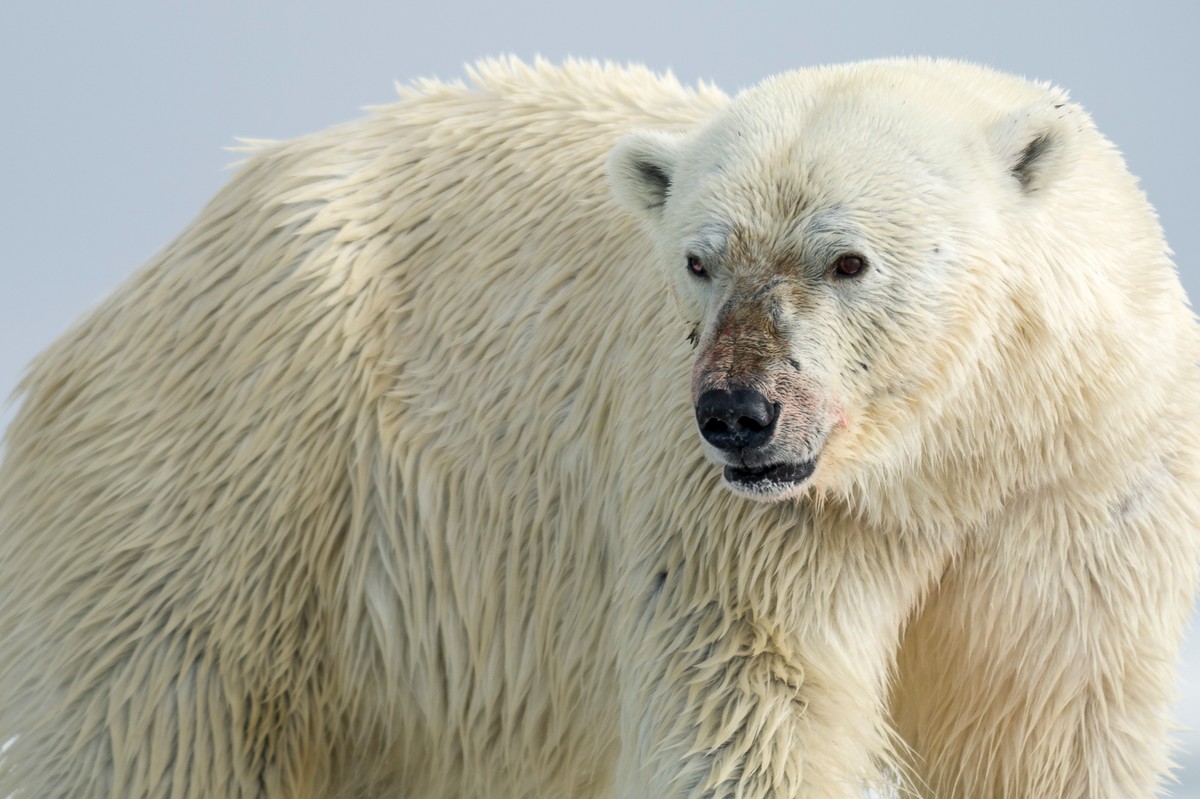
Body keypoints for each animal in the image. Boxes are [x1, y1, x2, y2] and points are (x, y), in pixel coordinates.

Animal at [2, 57, 1200, 796]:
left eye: (846, 258)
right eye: (699, 258)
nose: (737, 414)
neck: (945, 458)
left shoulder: (1081, 488)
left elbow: (1045, 724)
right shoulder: (740, 522)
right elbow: (751, 708)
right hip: (231, 482)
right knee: (152, 728)